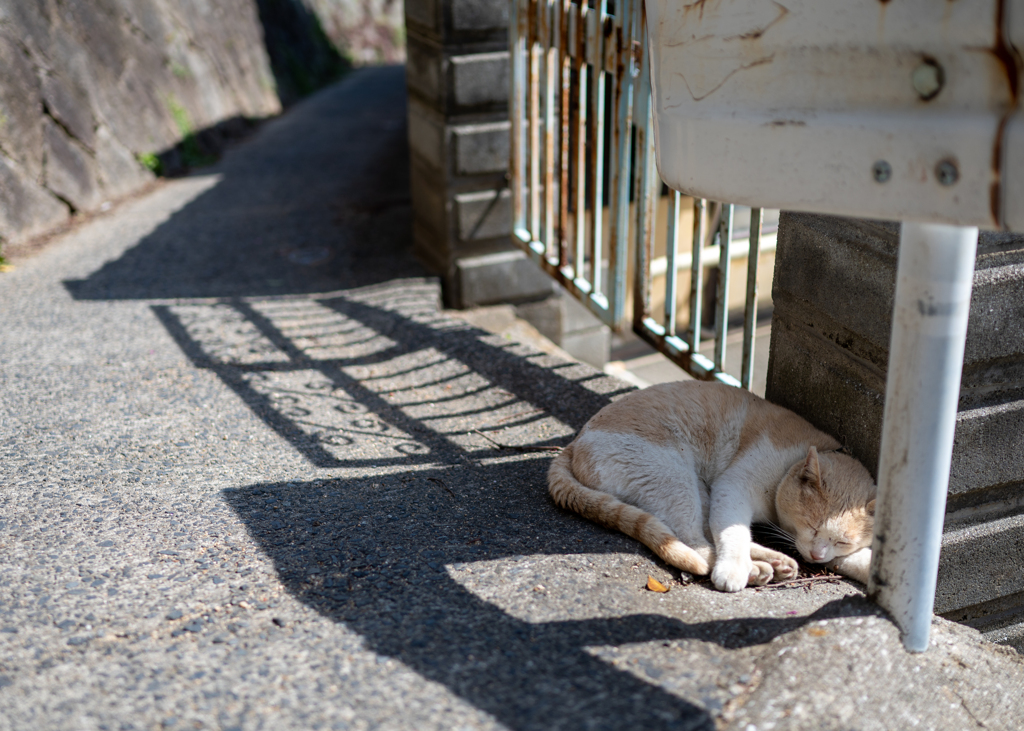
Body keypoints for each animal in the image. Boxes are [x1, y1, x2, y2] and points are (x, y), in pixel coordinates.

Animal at [548, 378, 876, 589]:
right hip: (673, 476)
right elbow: (733, 532)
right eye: (812, 526)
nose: (816, 556)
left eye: (842, 542)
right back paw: (754, 570)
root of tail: (576, 441)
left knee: (704, 532)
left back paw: (774, 563)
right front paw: (732, 570)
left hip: (698, 489)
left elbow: (859, 559)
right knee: (694, 541)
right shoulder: (734, 487)